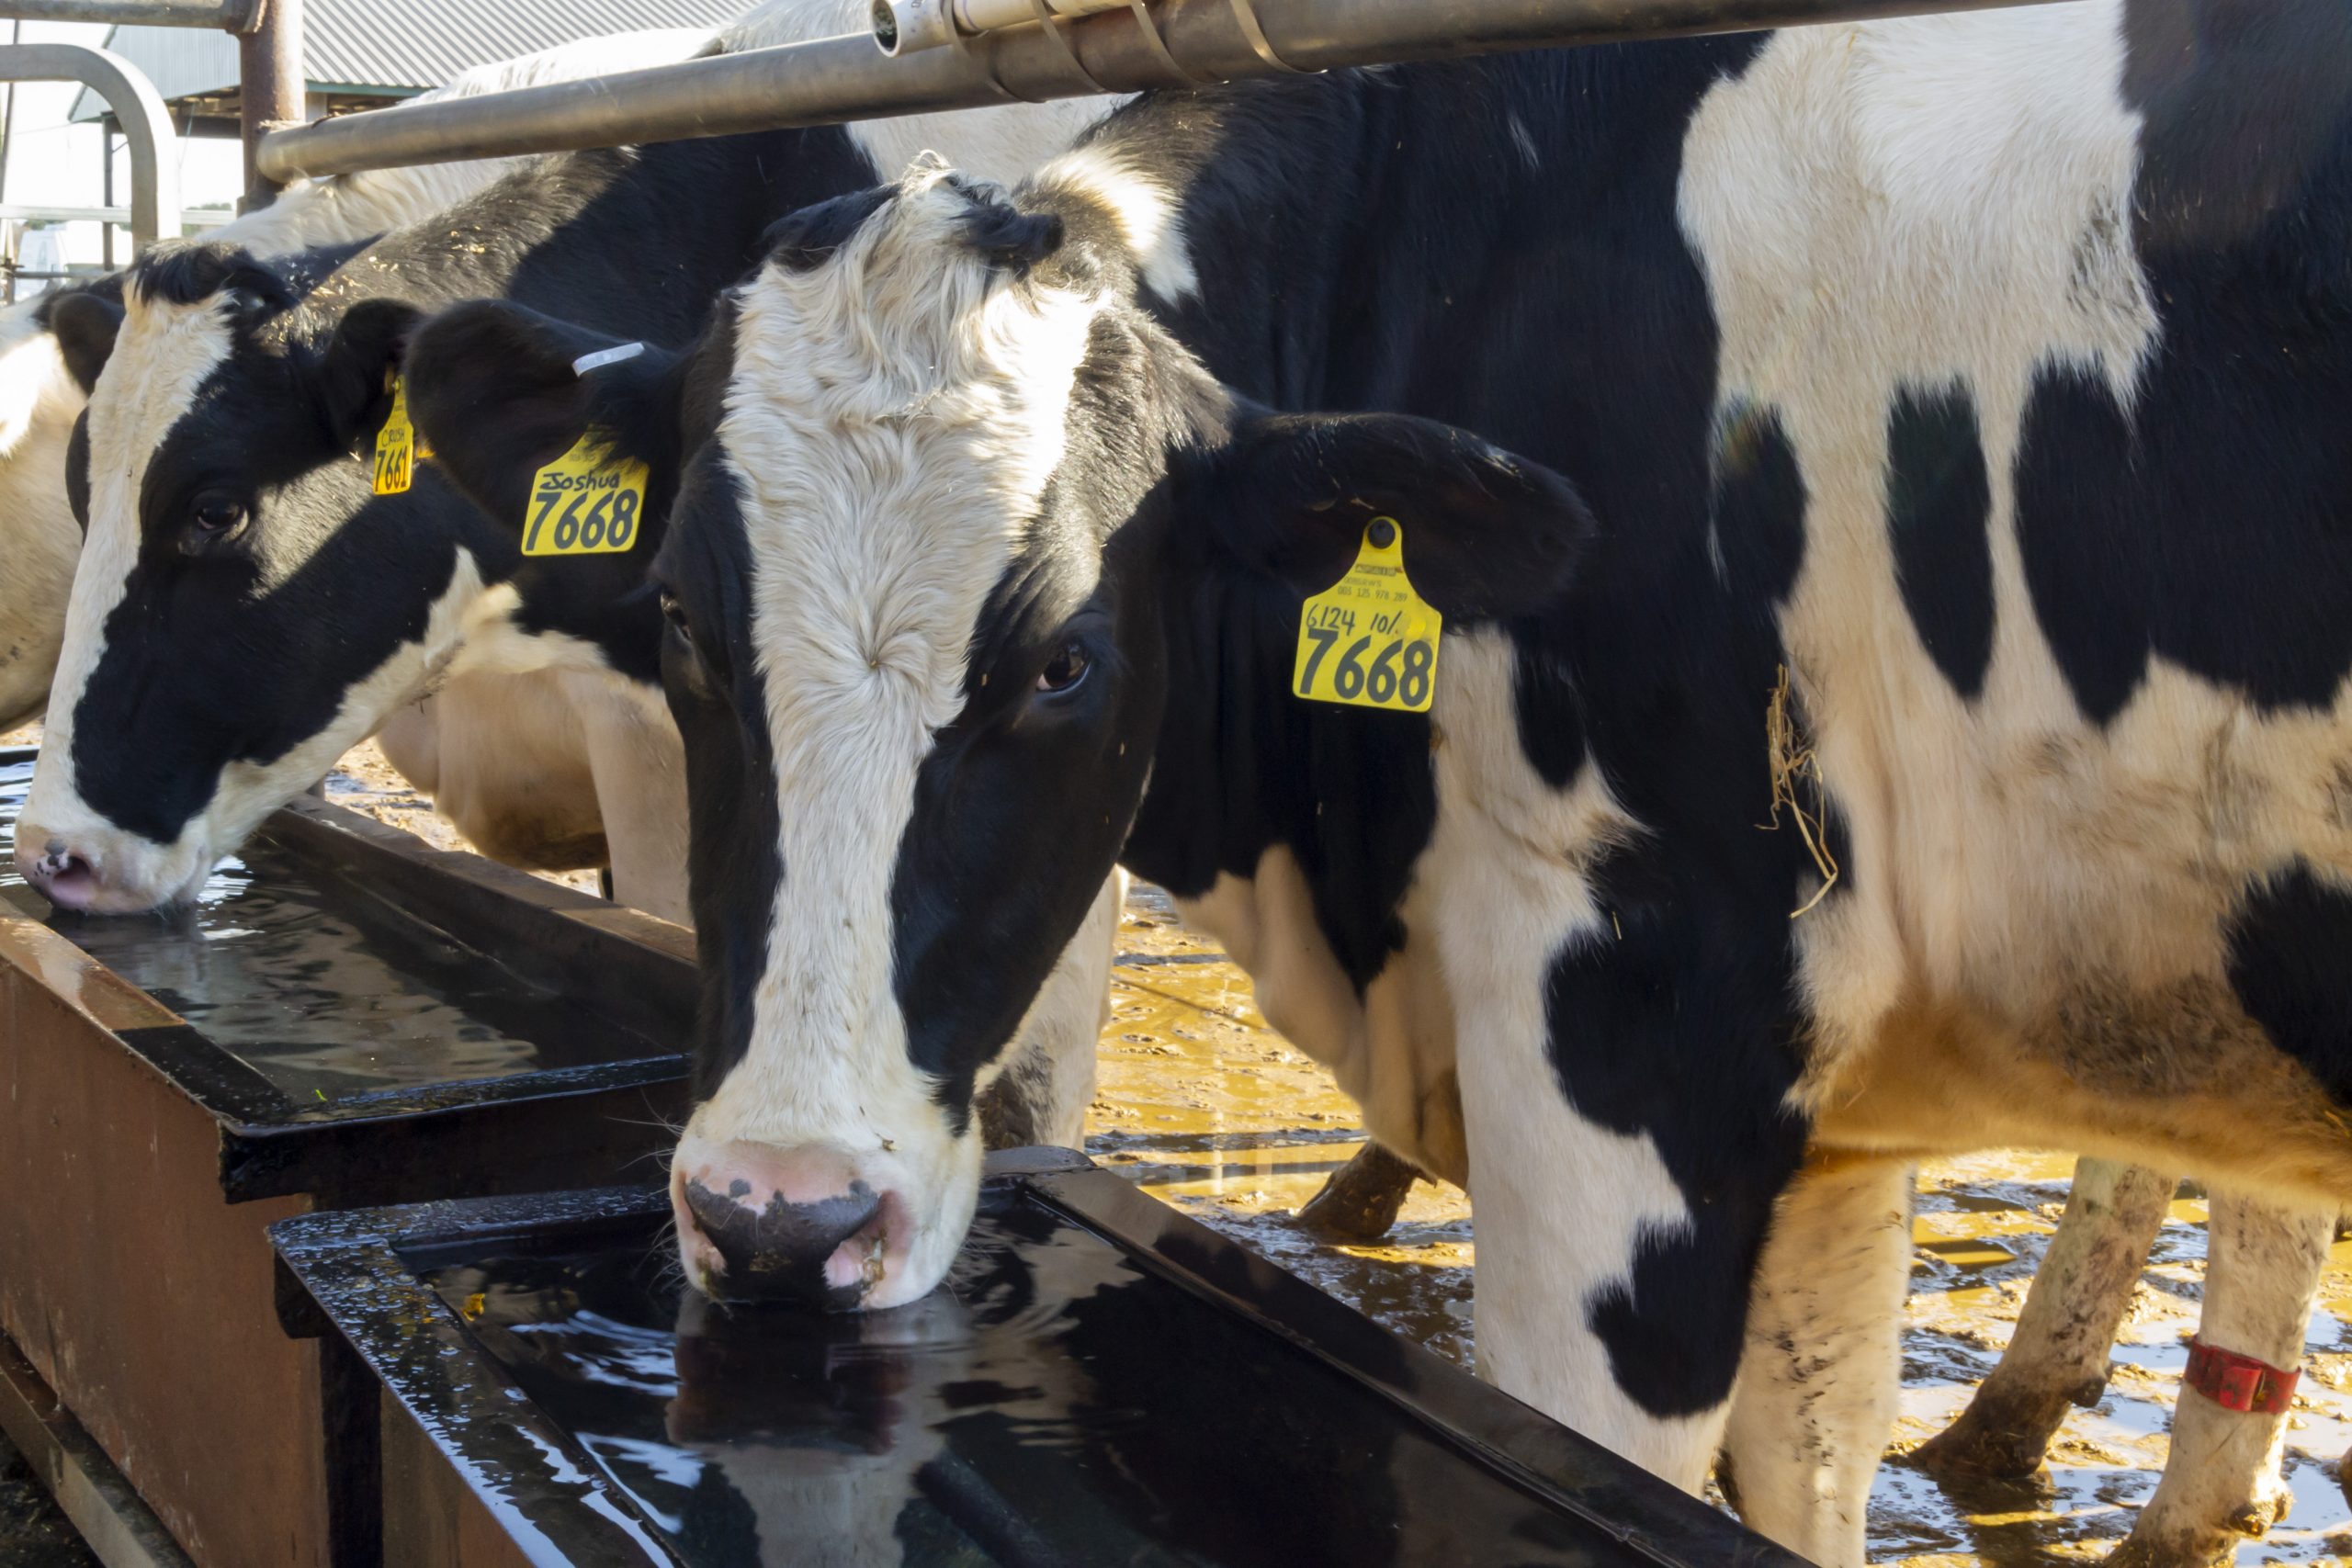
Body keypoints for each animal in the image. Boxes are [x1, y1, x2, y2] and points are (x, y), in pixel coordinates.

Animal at [396, 6, 2352, 1559]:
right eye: (678, 617)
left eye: (1066, 660)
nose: (775, 1218)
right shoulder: (1825, 1129)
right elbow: (1810, 1471)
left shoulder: (1631, 1061)